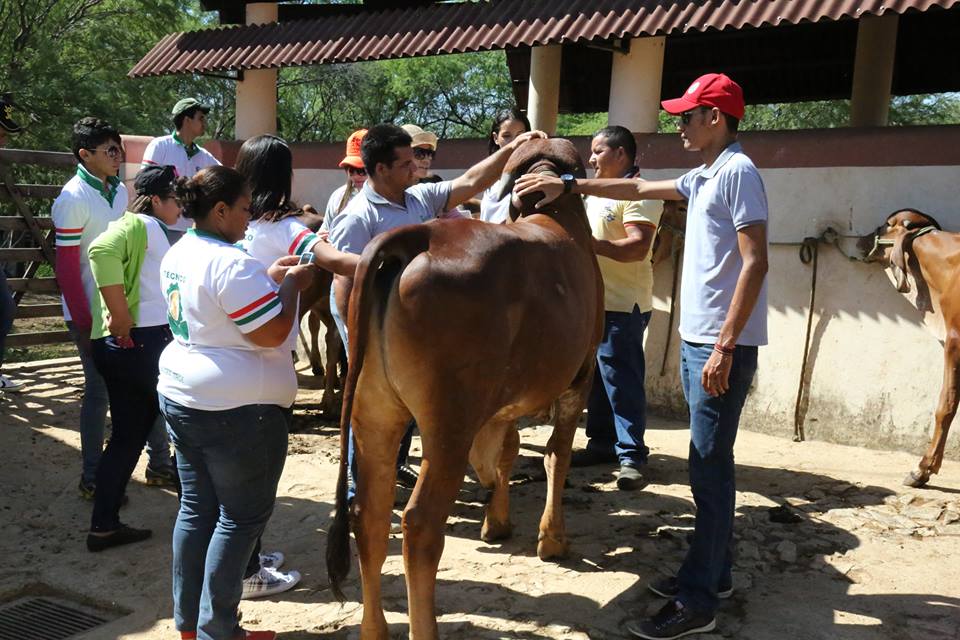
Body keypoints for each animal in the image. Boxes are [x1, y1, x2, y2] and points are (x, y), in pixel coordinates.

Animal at [326, 139, 604, 640]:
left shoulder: (505, 401)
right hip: (447, 424)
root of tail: (416, 237)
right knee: (420, 525)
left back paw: (374, 627)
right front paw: (552, 539)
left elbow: (507, 451)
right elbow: (557, 454)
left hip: (374, 412)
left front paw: (497, 521)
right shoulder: (582, 373)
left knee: (368, 514)